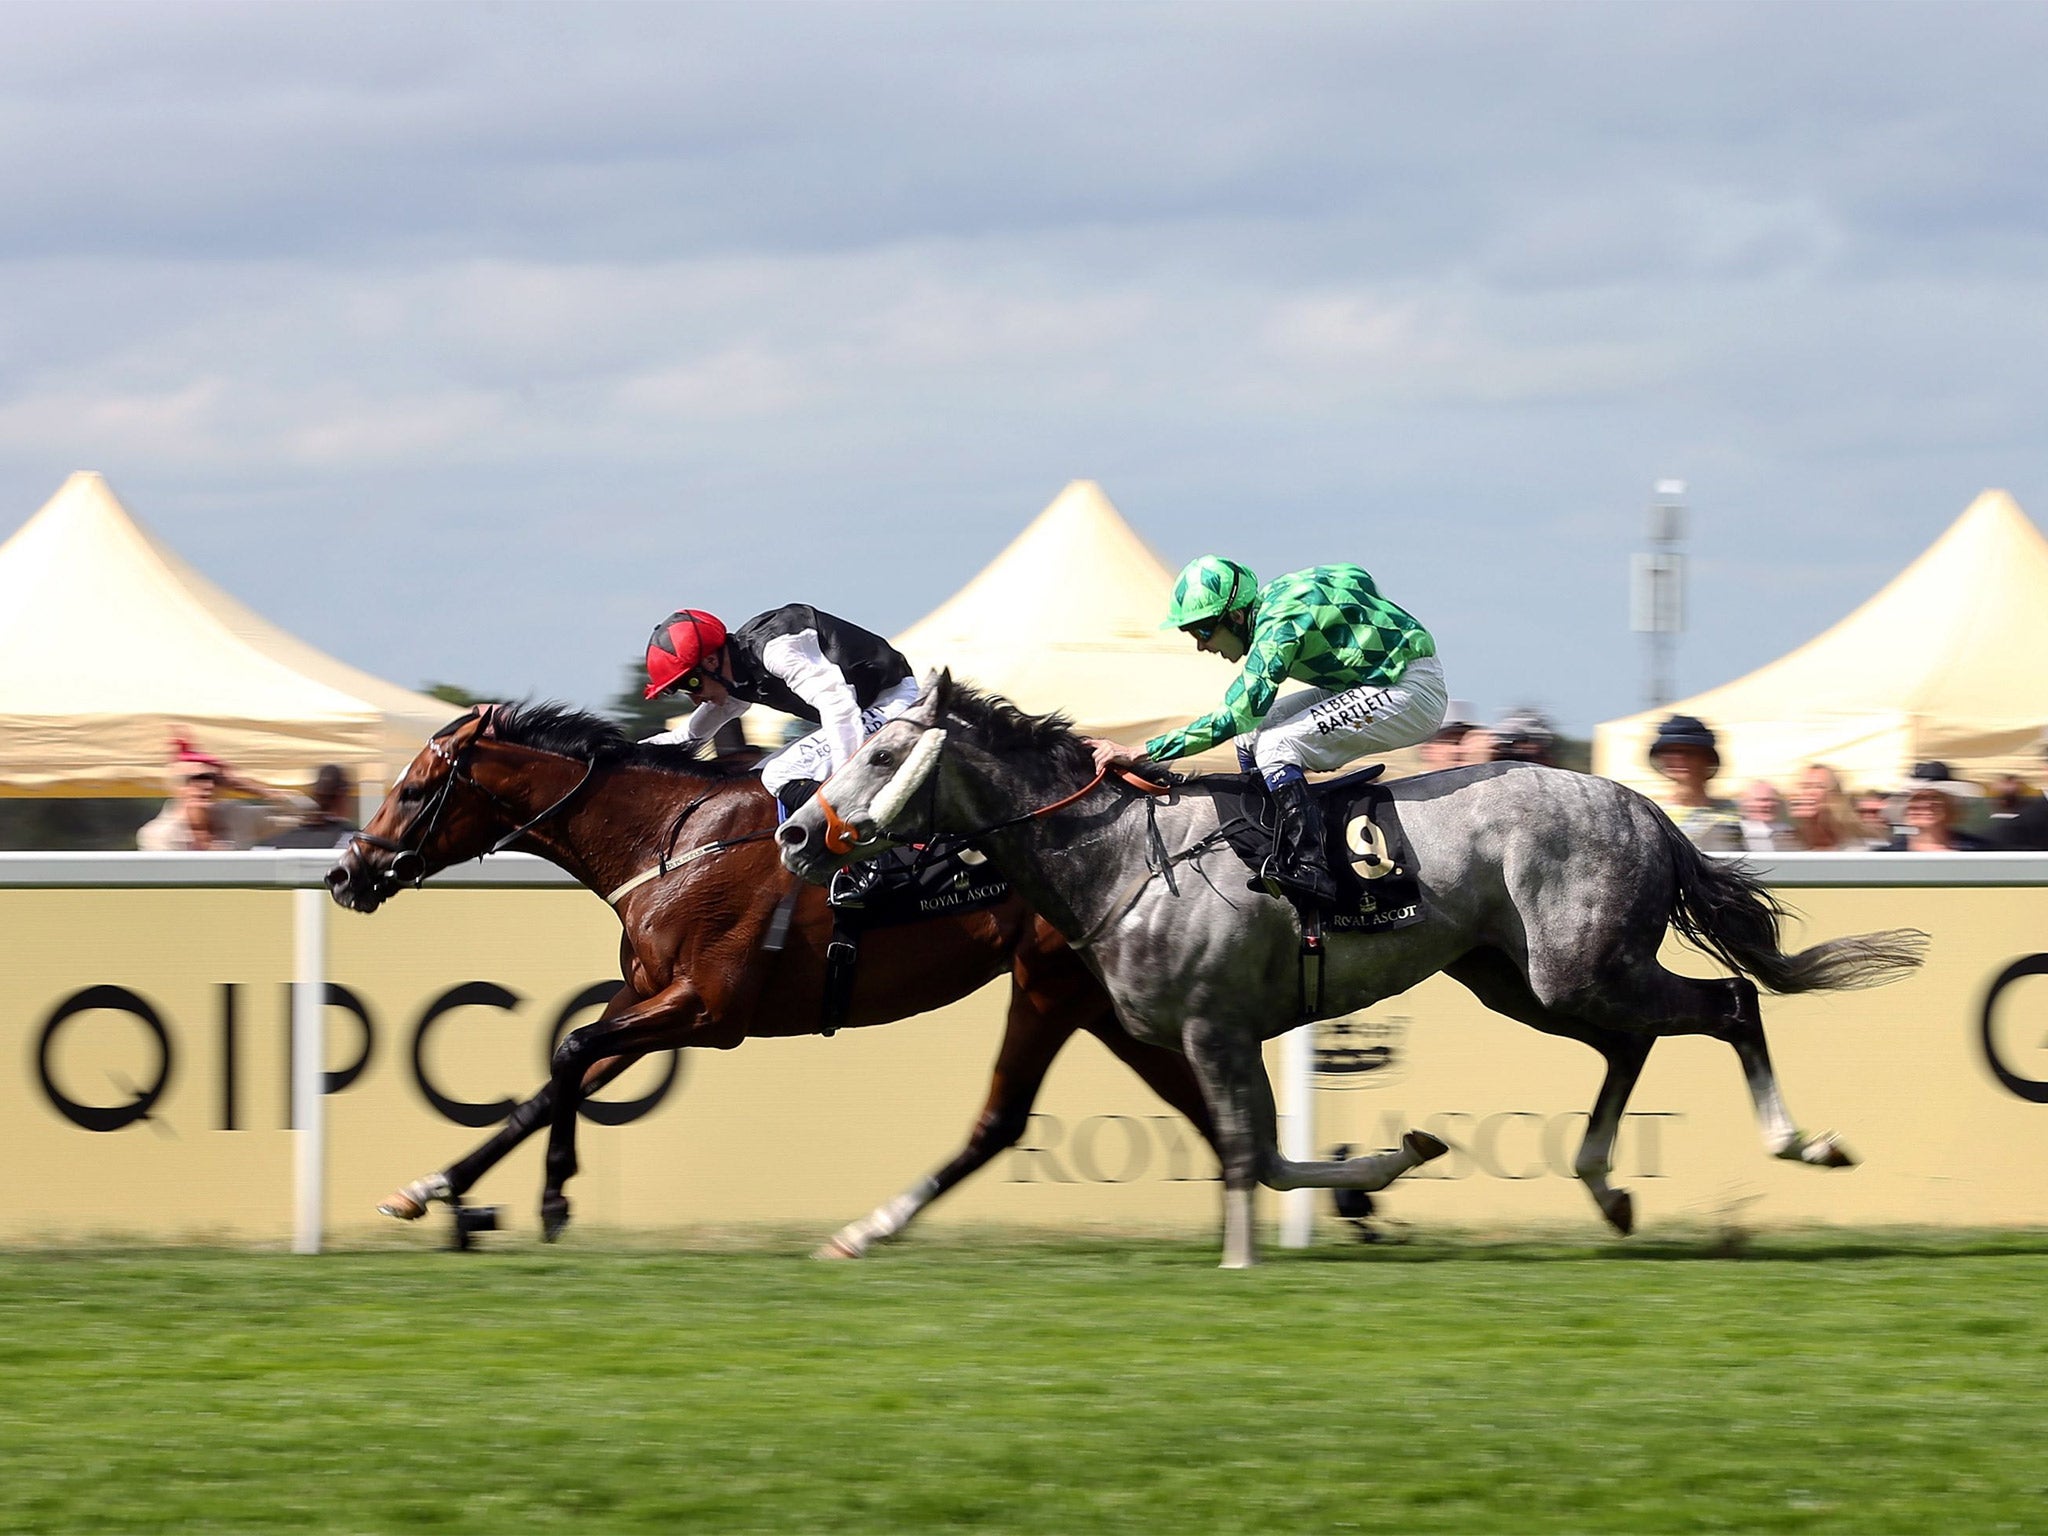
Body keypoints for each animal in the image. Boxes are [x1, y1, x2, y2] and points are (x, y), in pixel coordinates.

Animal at [323, 704, 1212, 1253]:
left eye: (413, 789)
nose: (344, 874)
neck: (669, 839)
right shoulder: (649, 995)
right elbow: (556, 1078)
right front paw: (431, 1187)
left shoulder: (708, 1009)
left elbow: (571, 1050)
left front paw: (552, 1199)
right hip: (1093, 999)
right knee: (1191, 1096)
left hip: (1051, 984)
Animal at [774, 679, 1925, 1269]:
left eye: (884, 758)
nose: (793, 833)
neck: (1121, 854)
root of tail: (1642, 805)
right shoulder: (1204, 1033)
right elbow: (1274, 1157)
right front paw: (1393, 1158)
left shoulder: (1212, 1026)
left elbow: (1250, 1154)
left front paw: (1243, 1260)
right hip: (1521, 979)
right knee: (1633, 1039)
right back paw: (1605, 1189)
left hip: (1573, 967)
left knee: (1727, 1002)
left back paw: (1802, 1141)